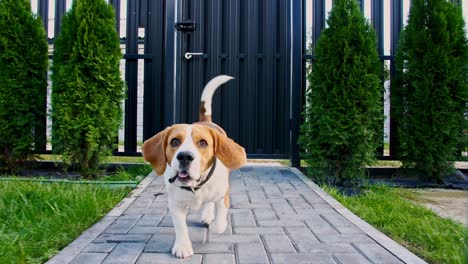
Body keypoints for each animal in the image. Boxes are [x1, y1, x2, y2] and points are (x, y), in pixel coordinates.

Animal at [142, 75, 247, 258]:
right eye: (174, 141)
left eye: (203, 143)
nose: (185, 156)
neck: (195, 186)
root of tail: (205, 121)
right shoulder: (175, 204)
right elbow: (180, 227)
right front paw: (182, 246)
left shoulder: (223, 194)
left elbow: (220, 218)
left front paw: (216, 224)